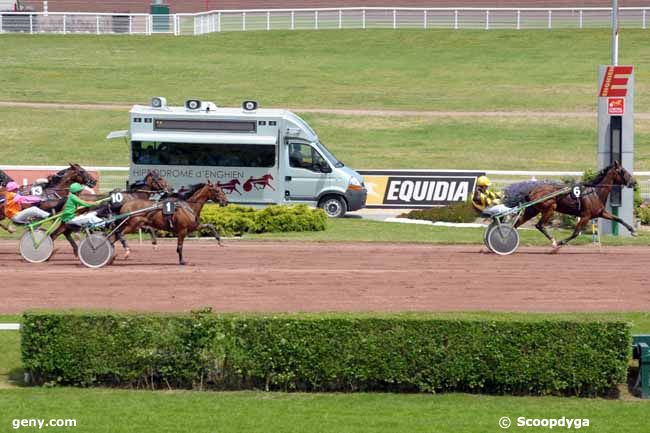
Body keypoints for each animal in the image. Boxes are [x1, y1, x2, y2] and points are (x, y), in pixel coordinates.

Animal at [504, 161, 636, 250]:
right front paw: (560, 243)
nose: (634, 182)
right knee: (539, 225)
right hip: (550, 208)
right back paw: (553, 241)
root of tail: (532, 191)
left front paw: (633, 231)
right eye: (623, 171)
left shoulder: (600, 212)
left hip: (532, 210)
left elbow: (618, 218)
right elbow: (575, 233)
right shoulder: (586, 216)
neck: (594, 192)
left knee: (516, 225)